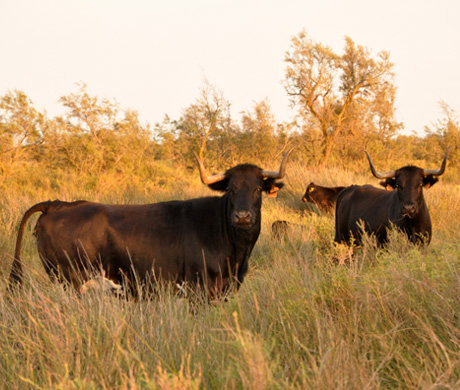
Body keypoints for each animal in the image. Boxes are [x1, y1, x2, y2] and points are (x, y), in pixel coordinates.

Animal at [9, 148, 296, 298]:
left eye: (257, 189)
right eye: (231, 190)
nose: (243, 216)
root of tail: (58, 204)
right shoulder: (200, 290)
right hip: (70, 280)